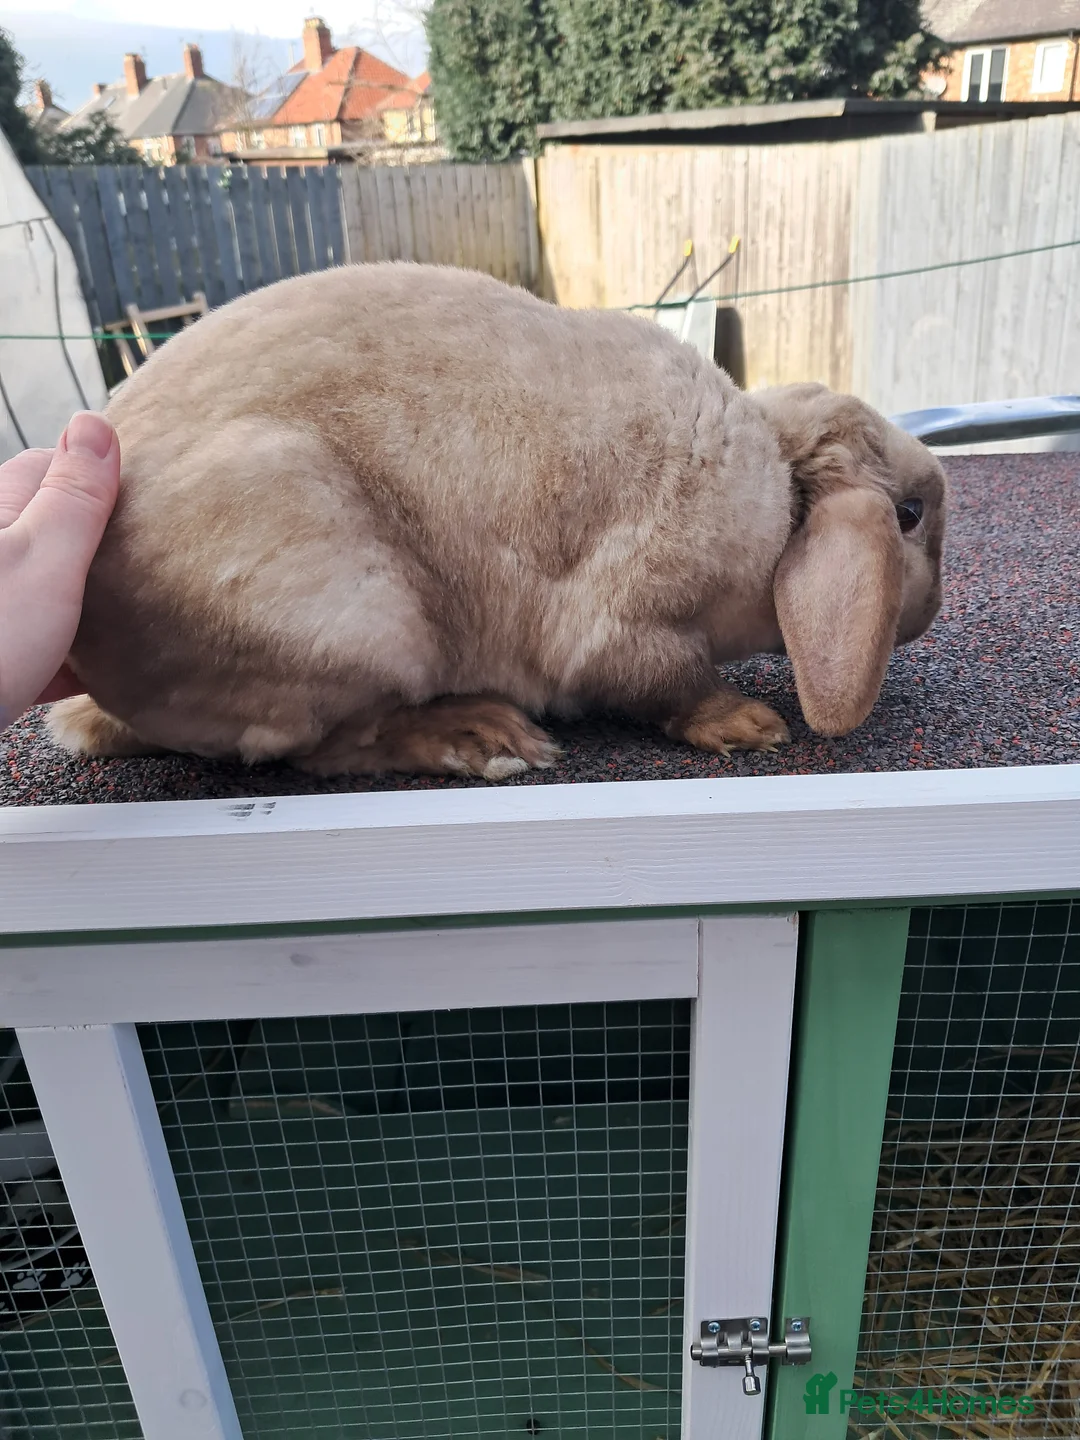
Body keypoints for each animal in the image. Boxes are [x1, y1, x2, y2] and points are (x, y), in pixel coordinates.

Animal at [48, 262, 946, 781]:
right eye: (907, 515)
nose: (929, 614)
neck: (775, 493)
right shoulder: (627, 621)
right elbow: (663, 682)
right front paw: (751, 726)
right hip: (356, 615)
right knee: (322, 753)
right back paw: (488, 739)